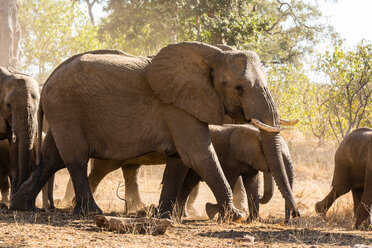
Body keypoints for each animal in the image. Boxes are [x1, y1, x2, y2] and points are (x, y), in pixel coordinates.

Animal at [12, 41, 300, 221]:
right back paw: (92, 213)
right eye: (239, 88)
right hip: (67, 108)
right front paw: (235, 217)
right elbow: (198, 155)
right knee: (76, 159)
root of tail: (49, 77)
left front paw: (163, 216)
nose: (295, 216)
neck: (214, 54)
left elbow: (180, 160)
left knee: (52, 159)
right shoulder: (177, 106)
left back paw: (22, 206)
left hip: (63, 114)